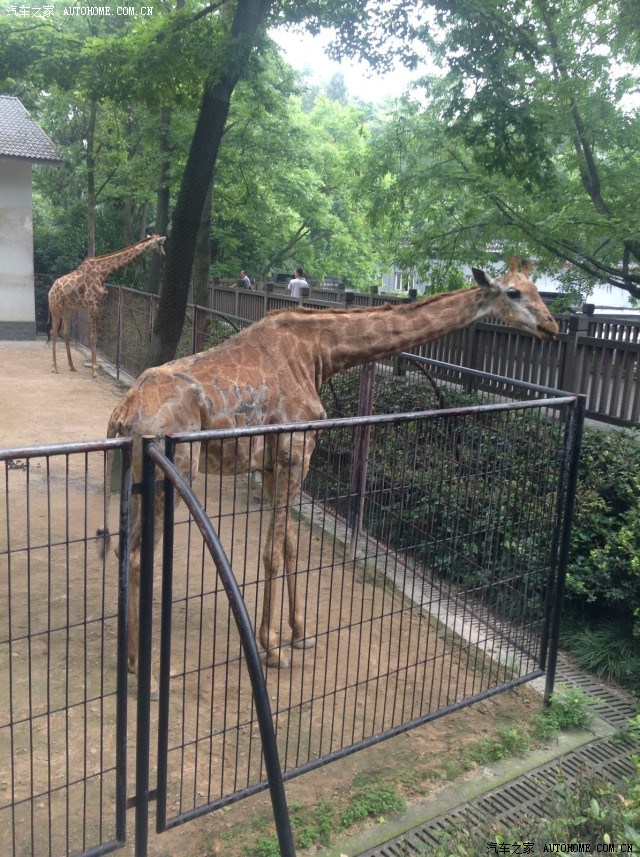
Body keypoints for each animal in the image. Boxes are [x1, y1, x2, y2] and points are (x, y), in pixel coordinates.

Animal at [49, 232, 166, 376]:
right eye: (161, 243)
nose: (164, 255)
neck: (104, 271)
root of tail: (50, 290)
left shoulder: (99, 305)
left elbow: (96, 336)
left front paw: (94, 367)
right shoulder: (92, 304)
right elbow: (92, 337)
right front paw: (94, 370)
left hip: (68, 309)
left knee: (64, 332)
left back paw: (71, 366)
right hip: (56, 308)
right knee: (53, 332)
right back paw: (55, 367)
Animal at [102, 256, 556, 688]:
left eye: (537, 288)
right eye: (514, 292)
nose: (550, 326)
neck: (318, 354)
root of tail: (121, 415)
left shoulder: (273, 465)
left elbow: (289, 546)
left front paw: (300, 634)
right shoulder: (295, 453)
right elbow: (272, 552)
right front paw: (272, 649)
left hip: (138, 478)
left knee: (124, 549)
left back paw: (129, 660)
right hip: (173, 473)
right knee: (141, 556)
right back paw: (147, 674)